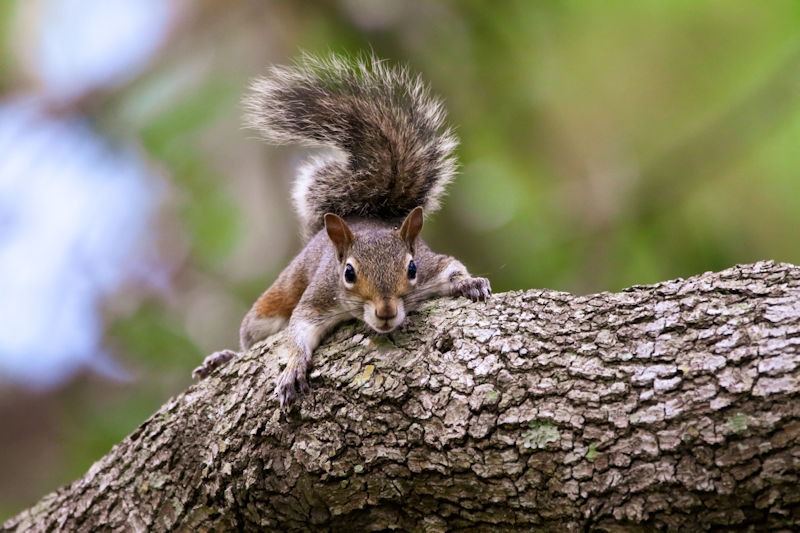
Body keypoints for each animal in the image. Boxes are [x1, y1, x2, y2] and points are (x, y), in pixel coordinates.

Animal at [195, 54, 494, 410]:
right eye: (348, 273)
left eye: (412, 269)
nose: (385, 313)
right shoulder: (319, 296)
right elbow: (297, 330)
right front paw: (293, 367)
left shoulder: (432, 265)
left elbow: (453, 268)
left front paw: (469, 283)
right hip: (271, 304)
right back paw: (222, 357)